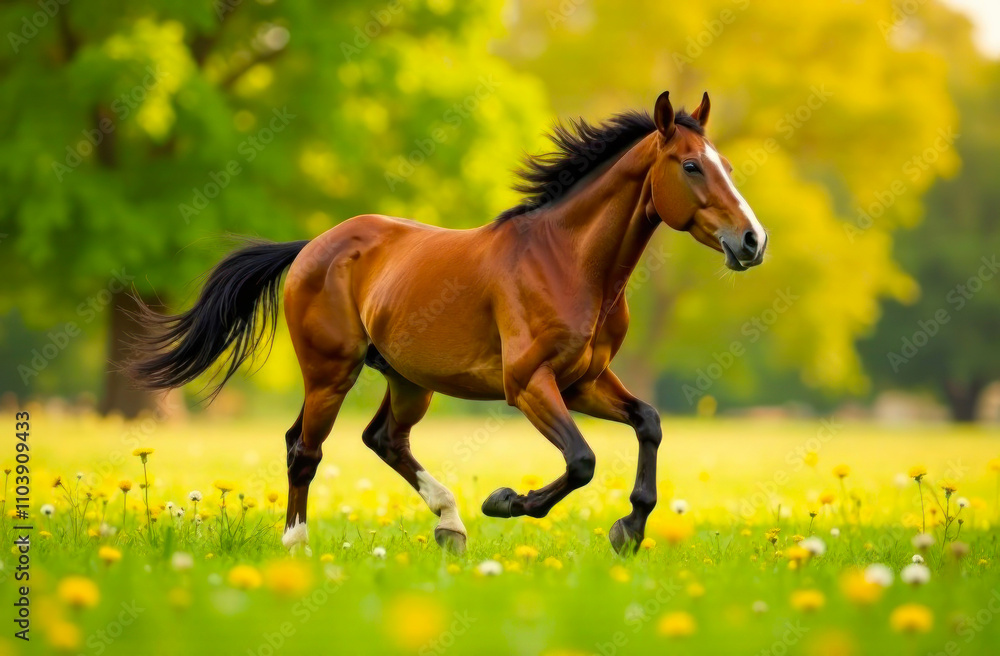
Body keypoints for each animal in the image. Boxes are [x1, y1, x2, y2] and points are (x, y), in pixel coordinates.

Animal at [128, 90, 767, 556]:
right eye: (691, 165)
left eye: (729, 166)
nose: (752, 241)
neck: (570, 262)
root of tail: (313, 246)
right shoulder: (528, 384)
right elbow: (582, 461)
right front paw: (506, 502)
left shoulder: (585, 381)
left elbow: (648, 423)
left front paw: (628, 529)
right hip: (330, 372)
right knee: (304, 450)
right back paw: (298, 544)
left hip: (409, 380)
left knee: (383, 438)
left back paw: (449, 525)